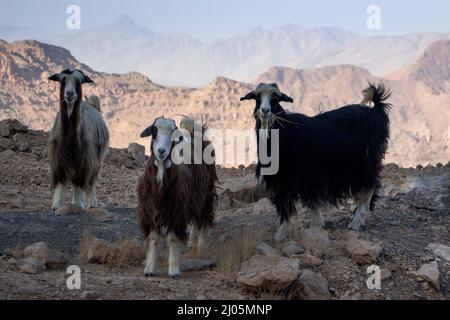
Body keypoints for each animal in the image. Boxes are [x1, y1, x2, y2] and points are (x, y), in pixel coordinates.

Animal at [48, 69, 109, 211]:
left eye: (79, 81)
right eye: (62, 80)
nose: (69, 94)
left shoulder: (85, 159)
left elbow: (80, 181)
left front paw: (78, 203)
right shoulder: (58, 157)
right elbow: (60, 179)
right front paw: (56, 205)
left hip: (98, 157)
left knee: (91, 180)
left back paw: (91, 203)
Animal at [137, 115, 218, 278]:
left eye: (172, 132)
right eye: (154, 131)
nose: (161, 151)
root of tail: (192, 134)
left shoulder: (177, 211)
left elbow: (173, 239)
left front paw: (174, 269)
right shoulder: (150, 210)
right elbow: (154, 239)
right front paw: (149, 268)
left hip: (206, 192)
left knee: (204, 218)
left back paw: (201, 248)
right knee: (194, 218)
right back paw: (191, 242)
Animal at [241, 81, 392, 241]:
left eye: (276, 97)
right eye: (257, 96)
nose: (265, 111)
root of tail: (376, 111)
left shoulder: (297, 174)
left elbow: (292, 202)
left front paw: (282, 234)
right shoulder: (287, 178)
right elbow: (305, 200)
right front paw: (315, 225)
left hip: (364, 164)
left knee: (368, 188)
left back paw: (356, 222)